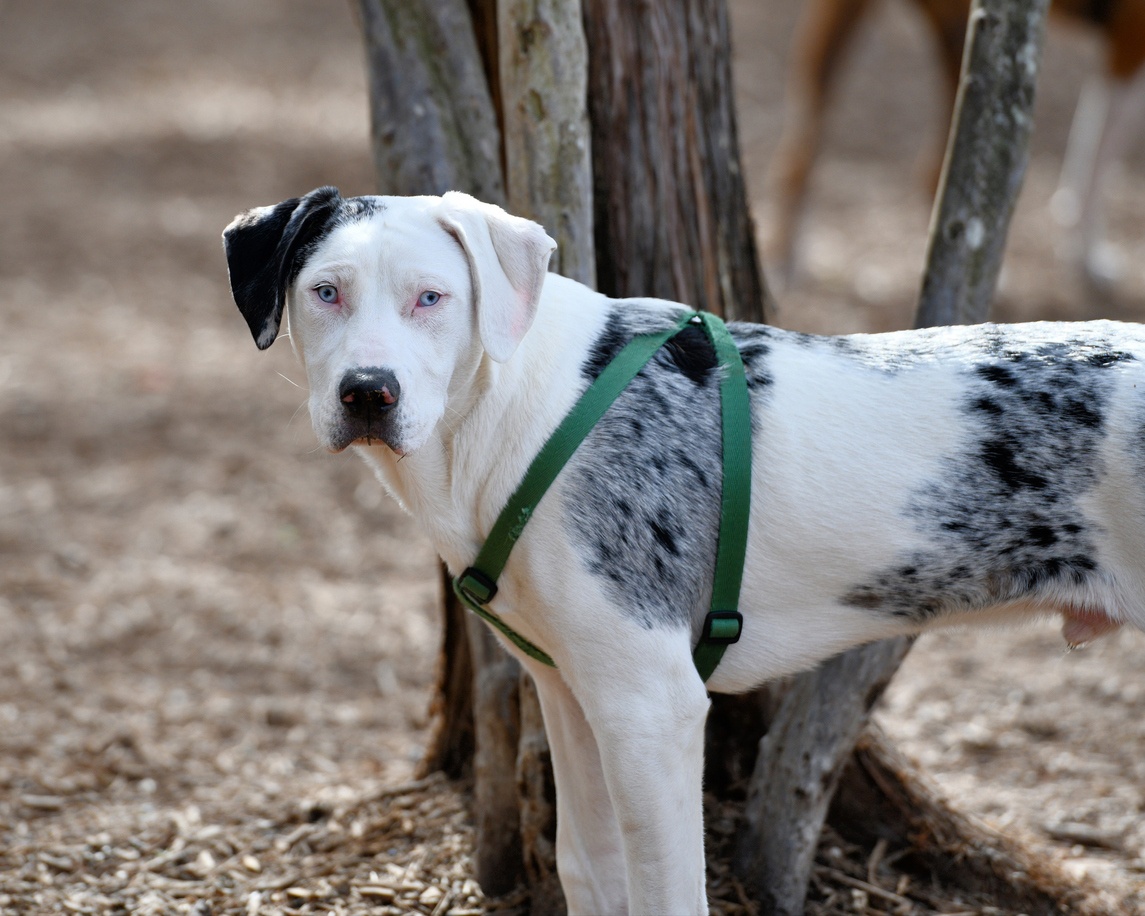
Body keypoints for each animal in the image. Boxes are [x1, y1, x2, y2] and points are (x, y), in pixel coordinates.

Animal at [223, 187, 1145, 916]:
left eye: (431, 297)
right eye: (324, 292)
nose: (367, 394)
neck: (521, 409)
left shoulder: (651, 704)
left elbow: (667, 894)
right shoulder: (570, 692)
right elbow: (588, 870)